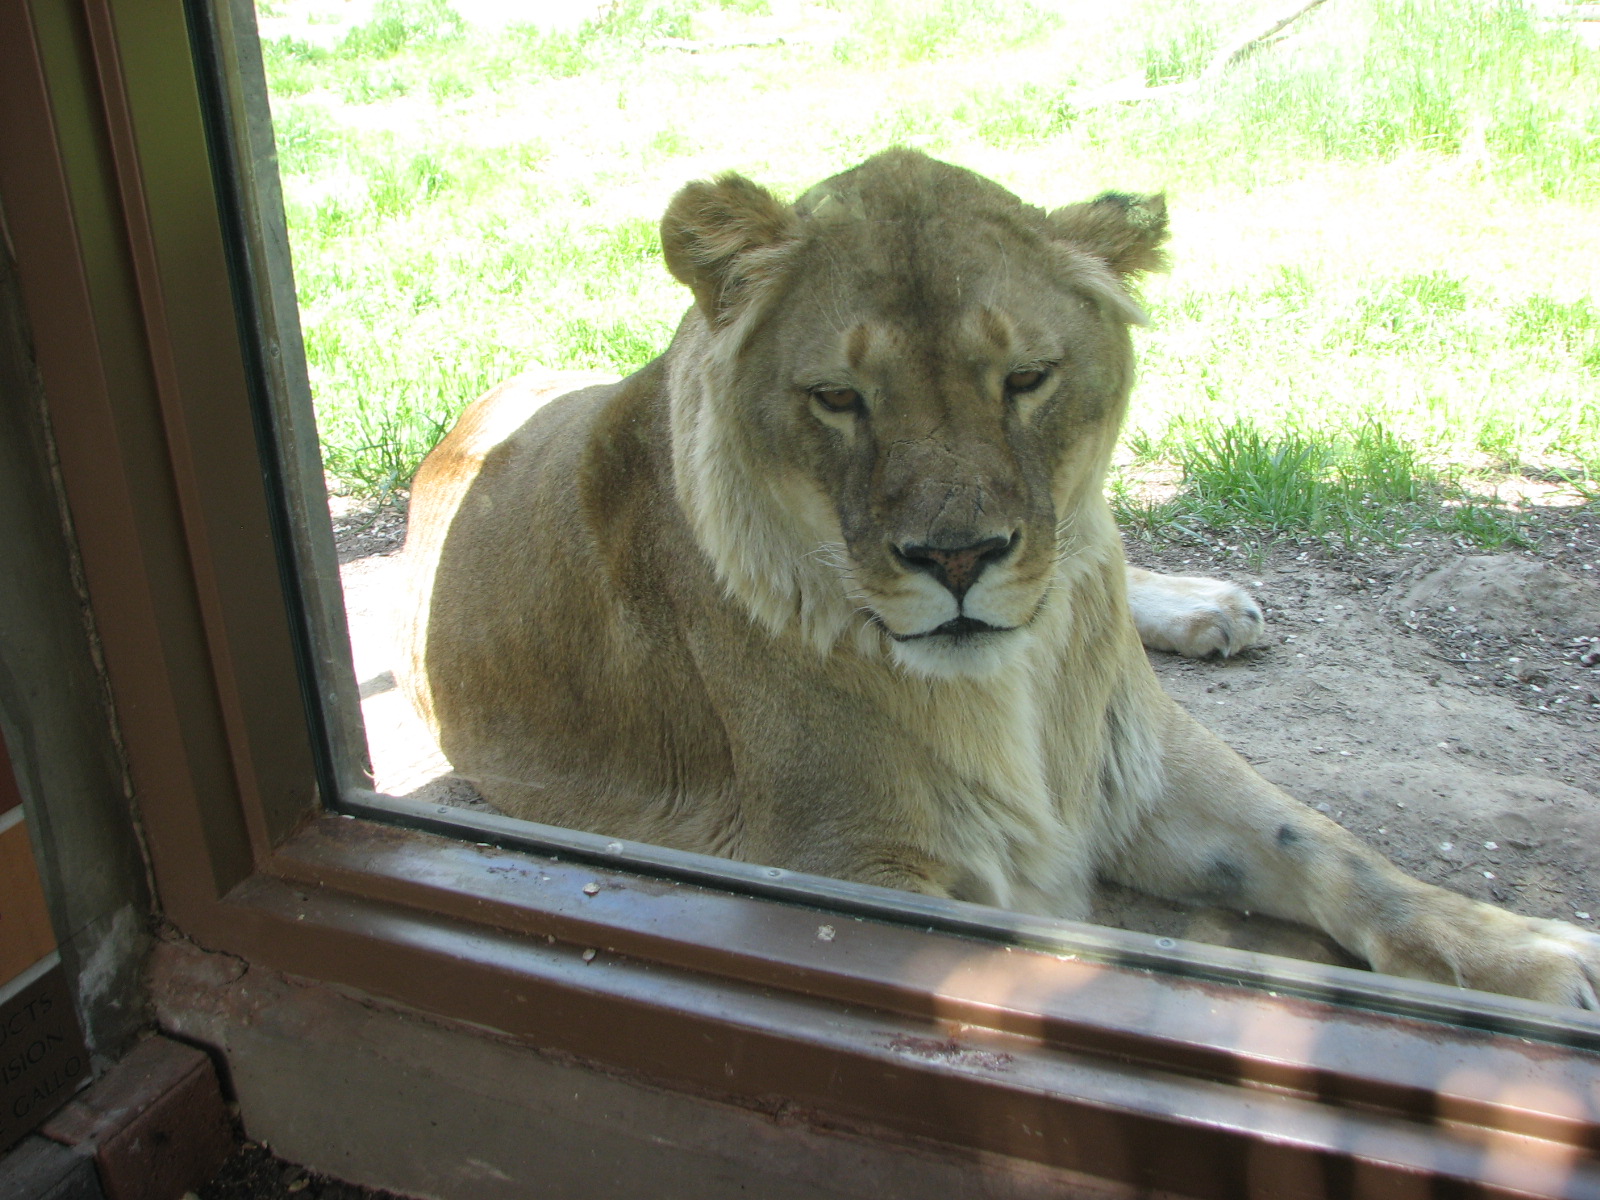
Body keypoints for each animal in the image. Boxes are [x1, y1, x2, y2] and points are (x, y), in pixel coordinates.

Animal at [399, 149, 1600, 1007]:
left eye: (1025, 378)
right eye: (839, 398)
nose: (959, 558)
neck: (1018, 677)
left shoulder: (1137, 753)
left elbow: (1331, 850)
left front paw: (1532, 954)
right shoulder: (842, 864)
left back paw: (1204, 606)